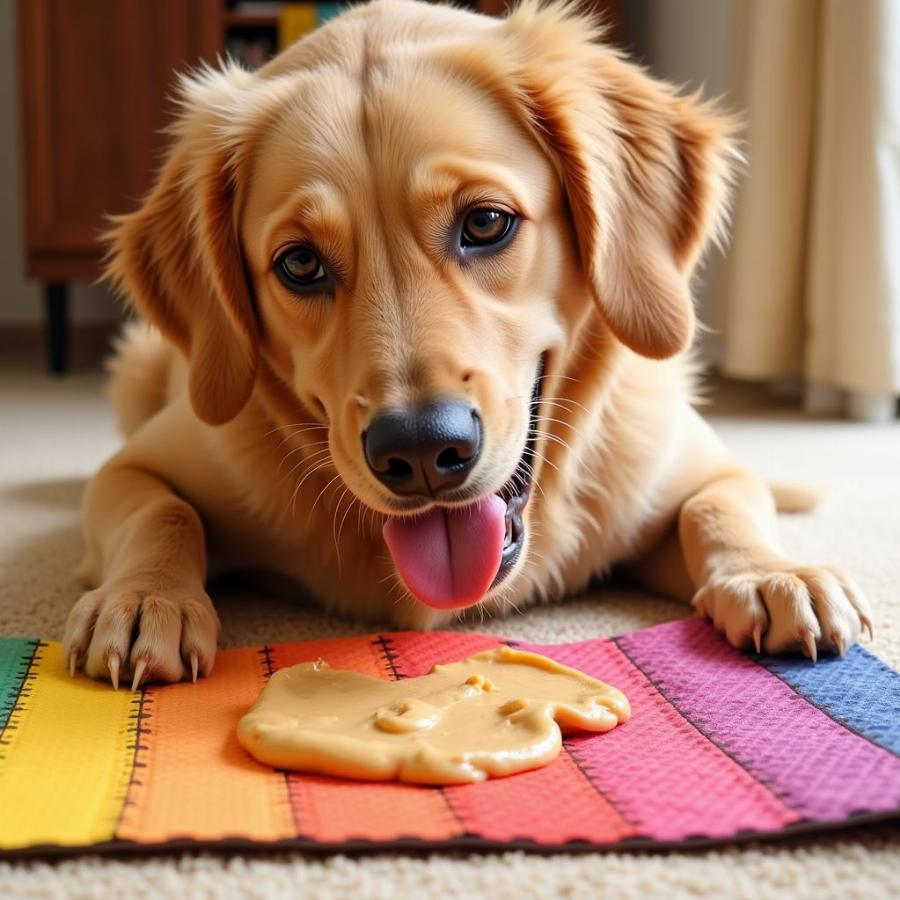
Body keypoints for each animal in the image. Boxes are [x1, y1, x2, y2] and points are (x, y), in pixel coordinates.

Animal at [59, 0, 868, 688]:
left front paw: (771, 574)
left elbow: (721, 505)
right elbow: (164, 512)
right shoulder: (135, 467)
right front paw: (144, 599)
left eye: (485, 222)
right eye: (300, 264)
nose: (419, 452)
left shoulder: (691, 471)